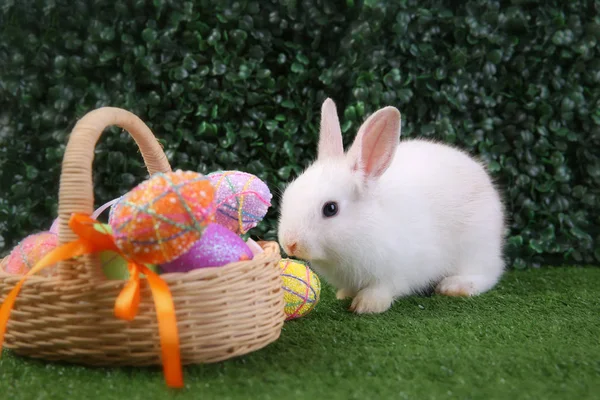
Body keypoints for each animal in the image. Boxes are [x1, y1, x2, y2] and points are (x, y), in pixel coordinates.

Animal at [278, 98, 506, 314]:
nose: (290, 244)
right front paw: (345, 295)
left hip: (476, 247)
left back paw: (455, 286)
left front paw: (367, 305)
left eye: (330, 208)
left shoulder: (395, 272)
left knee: (490, 272)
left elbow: (382, 289)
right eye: (288, 193)